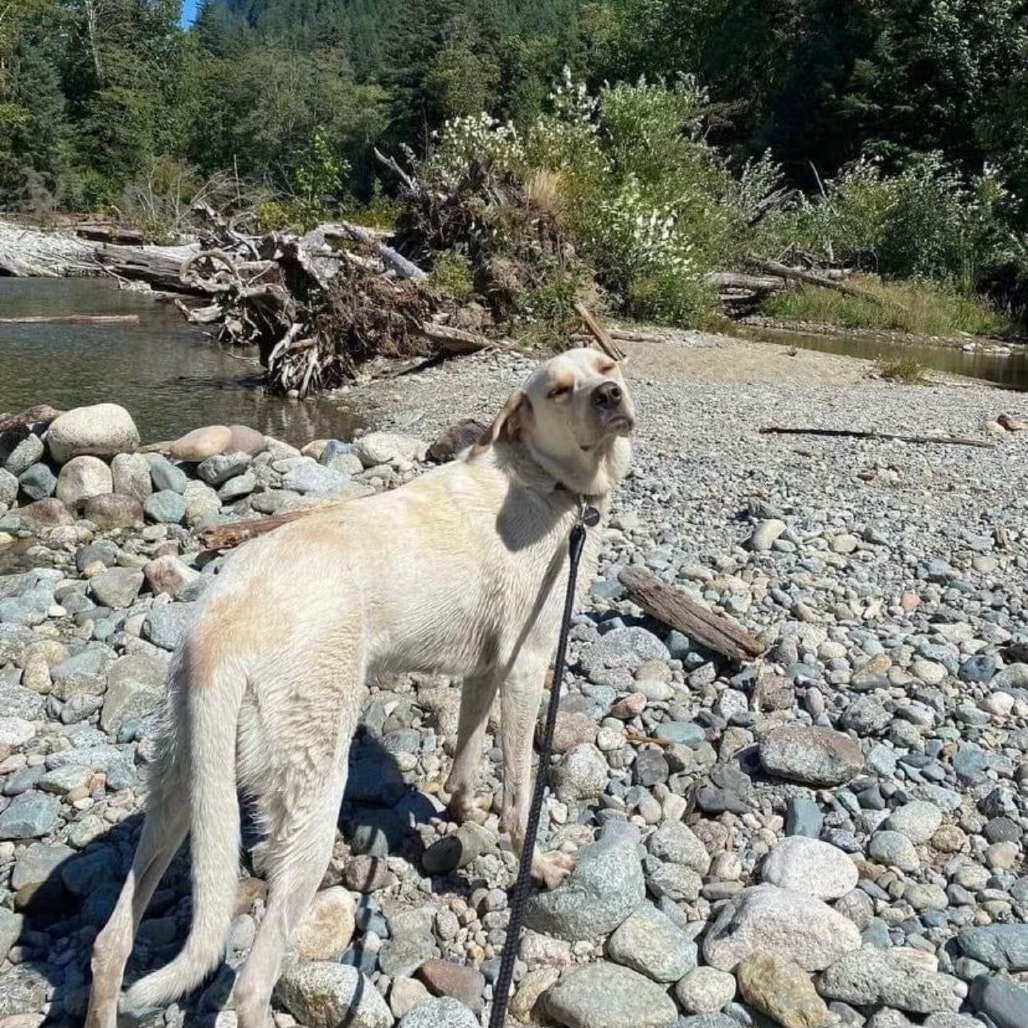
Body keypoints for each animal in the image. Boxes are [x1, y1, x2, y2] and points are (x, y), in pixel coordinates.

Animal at [86, 347, 633, 1028]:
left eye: (607, 365)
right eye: (559, 390)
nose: (611, 396)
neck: (542, 478)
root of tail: (221, 632)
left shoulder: (485, 671)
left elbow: (465, 758)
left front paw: (459, 812)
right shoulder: (527, 665)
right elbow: (518, 792)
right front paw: (536, 862)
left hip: (182, 787)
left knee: (111, 940)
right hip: (312, 797)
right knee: (249, 985)